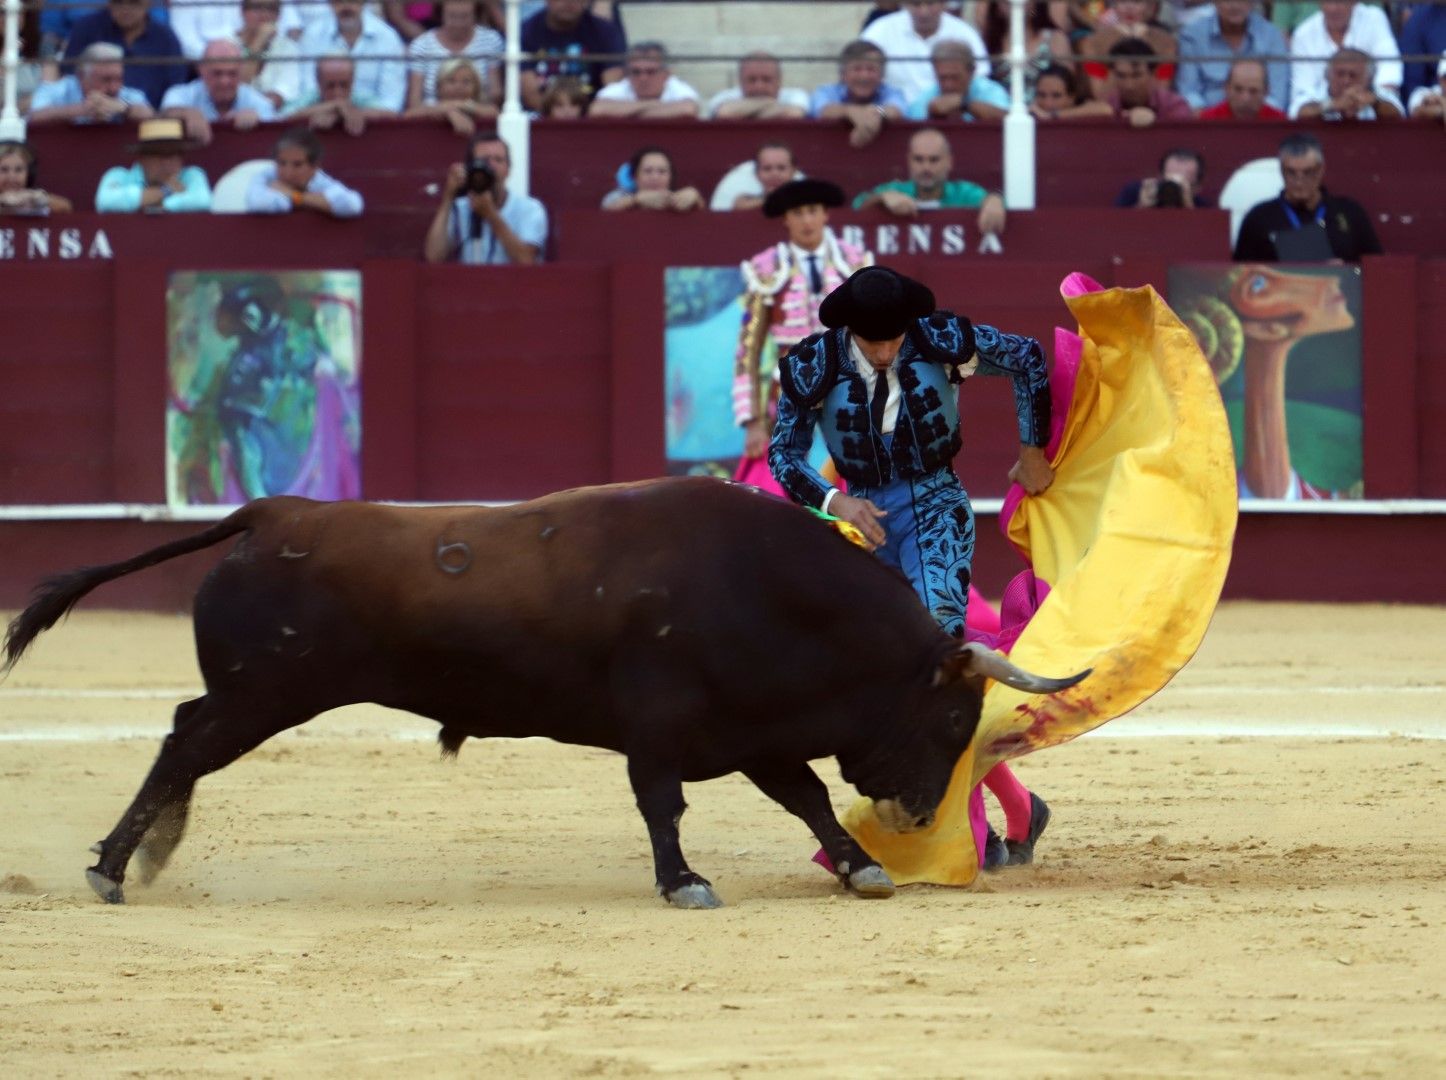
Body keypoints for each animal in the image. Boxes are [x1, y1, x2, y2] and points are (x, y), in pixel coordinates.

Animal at [0, 477, 1087, 907]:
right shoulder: (662, 725)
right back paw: (111, 867)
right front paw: (684, 883)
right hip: (263, 693)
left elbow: (808, 798)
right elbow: (664, 804)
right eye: (954, 714)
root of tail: (272, 512)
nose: (918, 814)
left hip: (255, 694)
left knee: (184, 738)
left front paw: (861, 867)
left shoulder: (751, 731)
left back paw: (146, 855)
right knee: (184, 741)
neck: (765, 584)